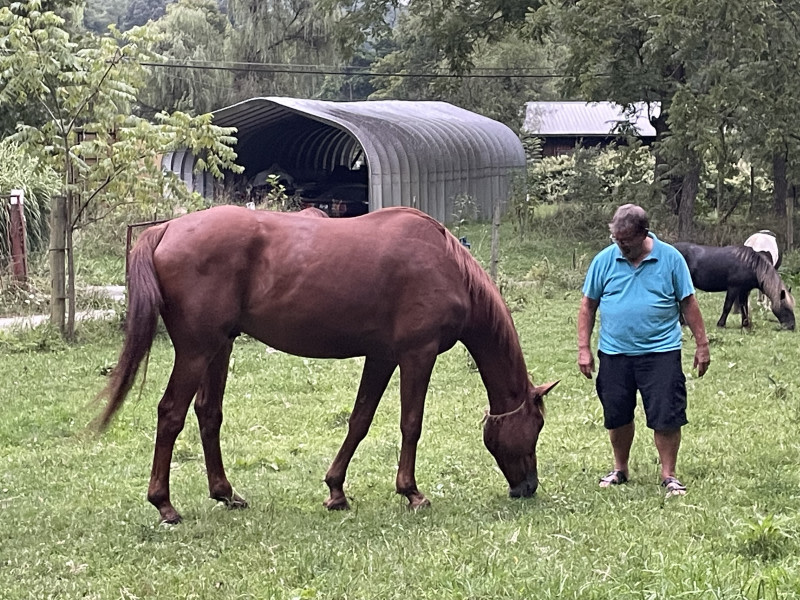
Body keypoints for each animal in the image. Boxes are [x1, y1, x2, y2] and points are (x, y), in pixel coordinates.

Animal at [98, 205, 555, 523]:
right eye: (536, 426)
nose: (528, 487)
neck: (445, 264)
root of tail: (166, 229)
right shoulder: (417, 355)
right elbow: (411, 424)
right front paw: (411, 492)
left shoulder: (382, 356)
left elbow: (360, 420)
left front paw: (336, 490)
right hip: (196, 350)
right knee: (171, 414)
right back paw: (165, 505)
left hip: (218, 348)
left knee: (208, 414)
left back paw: (226, 493)